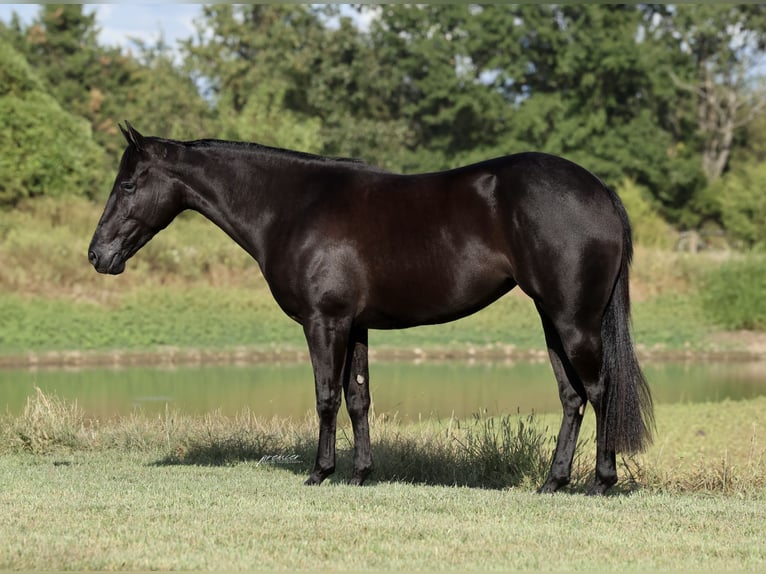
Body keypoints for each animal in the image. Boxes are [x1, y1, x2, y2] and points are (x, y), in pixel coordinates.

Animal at [88, 122, 653, 495]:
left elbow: (325, 397)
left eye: (128, 184)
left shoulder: (324, 322)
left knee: (599, 390)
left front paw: (320, 472)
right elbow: (358, 398)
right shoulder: (355, 325)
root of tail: (599, 190)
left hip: (574, 321)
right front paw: (361, 474)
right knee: (571, 396)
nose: (98, 255)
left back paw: (601, 482)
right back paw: (553, 483)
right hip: (553, 320)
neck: (293, 205)